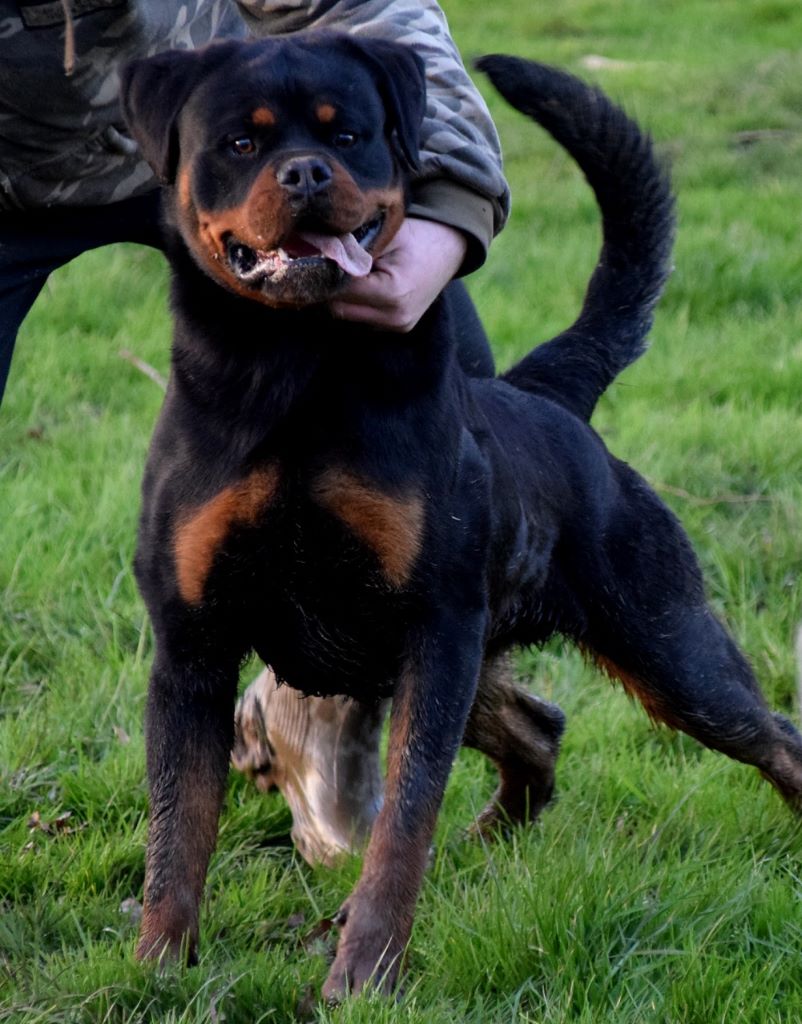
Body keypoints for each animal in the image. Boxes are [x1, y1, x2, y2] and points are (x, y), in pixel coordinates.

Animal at [119, 34, 802, 999]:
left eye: (350, 133)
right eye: (241, 144)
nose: (305, 172)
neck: (296, 371)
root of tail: (540, 394)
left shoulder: (434, 624)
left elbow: (402, 824)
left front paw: (366, 971)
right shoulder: (193, 647)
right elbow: (178, 829)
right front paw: (159, 969)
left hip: (658, 642)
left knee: (771, 734)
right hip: (442, 657)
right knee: (538, 729)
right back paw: (485, 842)